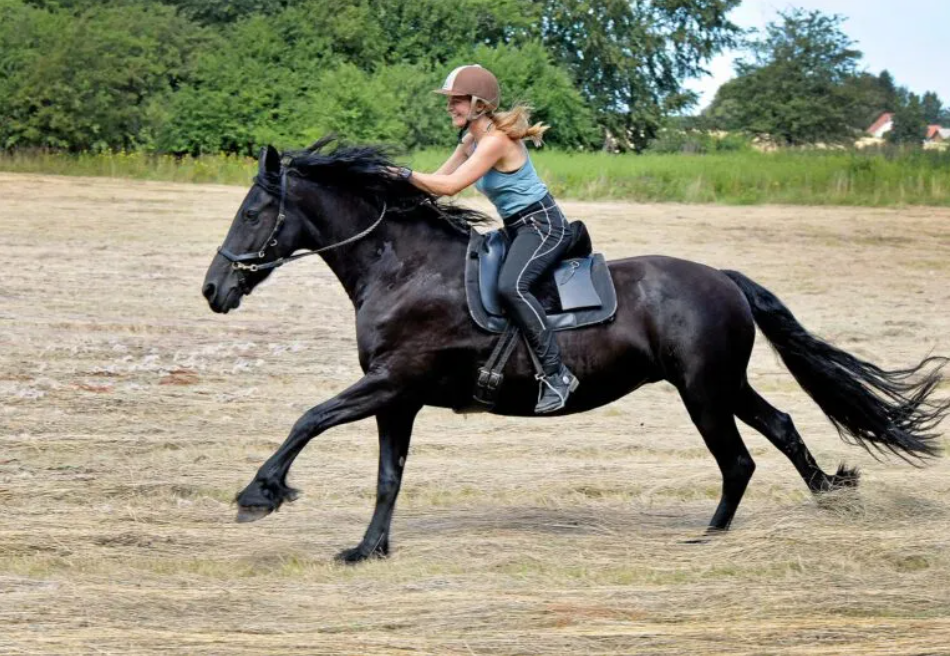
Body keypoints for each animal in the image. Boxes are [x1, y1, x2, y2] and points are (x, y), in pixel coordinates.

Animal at [201, 140, 944, 564]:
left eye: (249, 213)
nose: (212, 290)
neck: (403, 267)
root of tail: (723, 278)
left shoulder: (391, 383)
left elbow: (309, 418)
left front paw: (259, 494)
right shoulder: (398, 398)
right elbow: (389, 475)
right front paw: (367, 549)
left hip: (702, 391)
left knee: (738, 459)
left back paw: (710, 534)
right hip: (723, 383)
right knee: (783, 427)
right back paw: (827, 493)